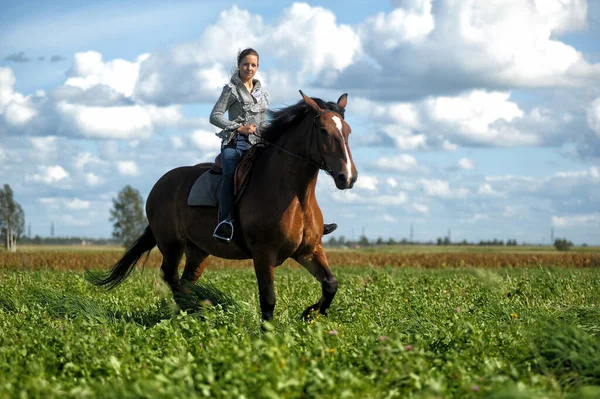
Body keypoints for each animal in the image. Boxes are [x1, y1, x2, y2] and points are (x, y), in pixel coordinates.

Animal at [90, 91, 356, 322]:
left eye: (348, 131)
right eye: (323, 130)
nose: (348, 177)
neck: (296, 195)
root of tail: (160, 184)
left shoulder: (309, 250)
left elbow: (331, 284)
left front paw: (309, 313)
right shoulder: (263, 254)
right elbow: (268, 299)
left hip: (197, 251)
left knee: (185, 282)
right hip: (171, 244)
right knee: (171, 278)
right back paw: (188, 314)